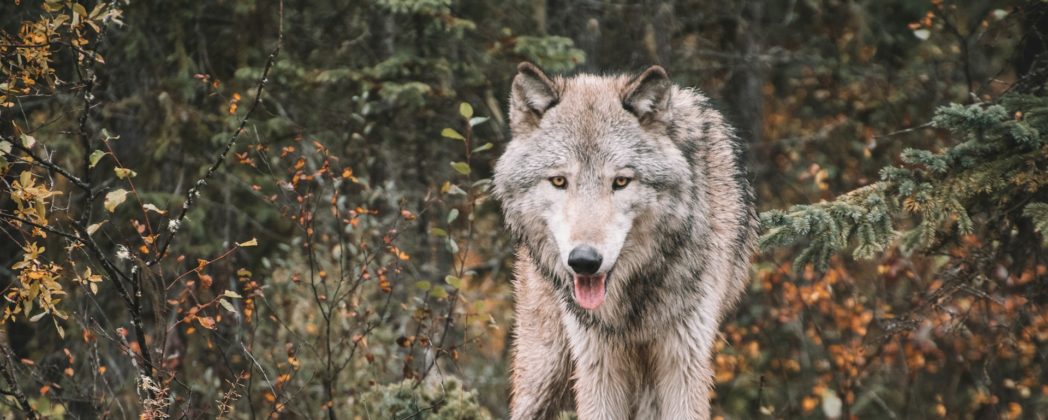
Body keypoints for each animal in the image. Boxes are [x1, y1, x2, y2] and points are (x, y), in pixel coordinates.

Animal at [492, 62, 758, 419]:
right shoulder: (598, 362)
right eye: (559, 181)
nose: (584, 261)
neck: (632, 303)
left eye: (620, 181)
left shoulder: (684, 359)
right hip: (545, 370)